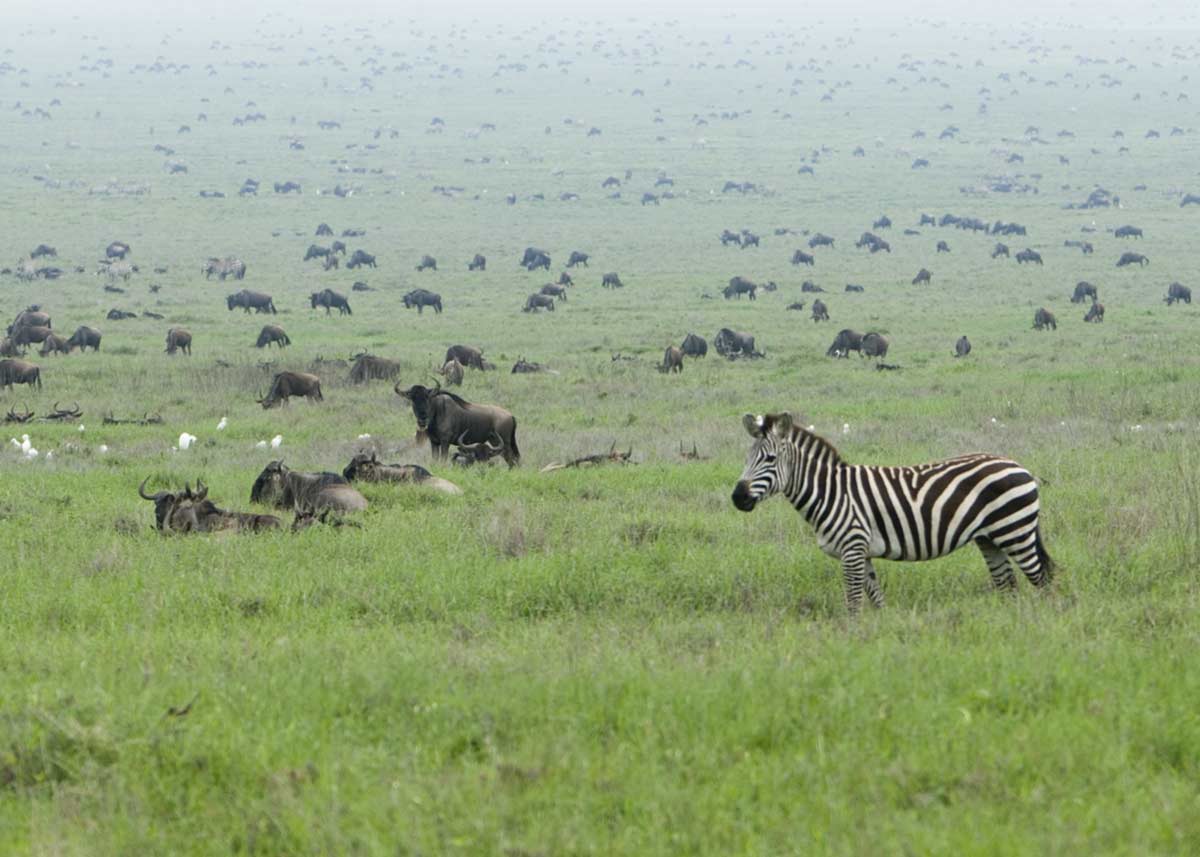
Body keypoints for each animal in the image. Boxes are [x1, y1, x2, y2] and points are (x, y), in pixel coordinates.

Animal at [731, 413, 1053, 611]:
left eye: (770, 459)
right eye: (747, 458)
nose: (737, 498)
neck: (831, 493)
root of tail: (1020, 467)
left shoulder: (852, 548)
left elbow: (853, 602)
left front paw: (851, 639)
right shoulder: (861, 552)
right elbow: (875, 599)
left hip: (1015, 531)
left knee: (1043, 581)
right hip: (990, 539)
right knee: (1008, 586)